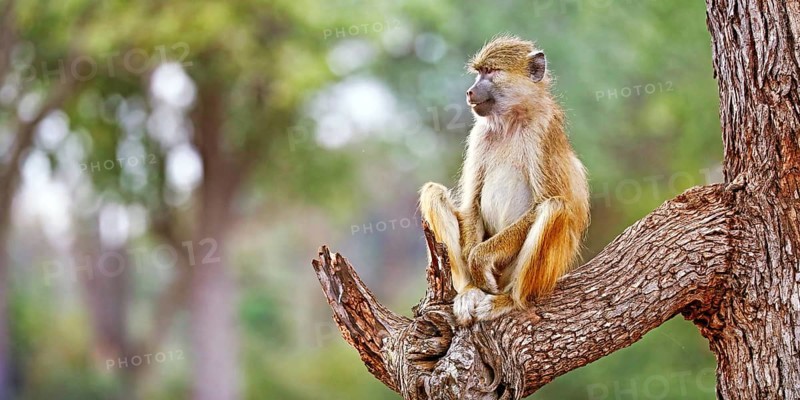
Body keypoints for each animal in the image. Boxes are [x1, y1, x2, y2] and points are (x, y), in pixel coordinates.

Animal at [419, 35, 590, 326]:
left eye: (490, 71)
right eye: (478, 73)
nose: (470, 92)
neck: (511, 120)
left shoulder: (544, 131)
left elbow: (545, 201)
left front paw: (478, 260)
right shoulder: (479, 133)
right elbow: (471, 204)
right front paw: (472, 272)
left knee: (554, 207)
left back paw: (510, 300)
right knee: (433, 192)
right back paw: (469, 290)